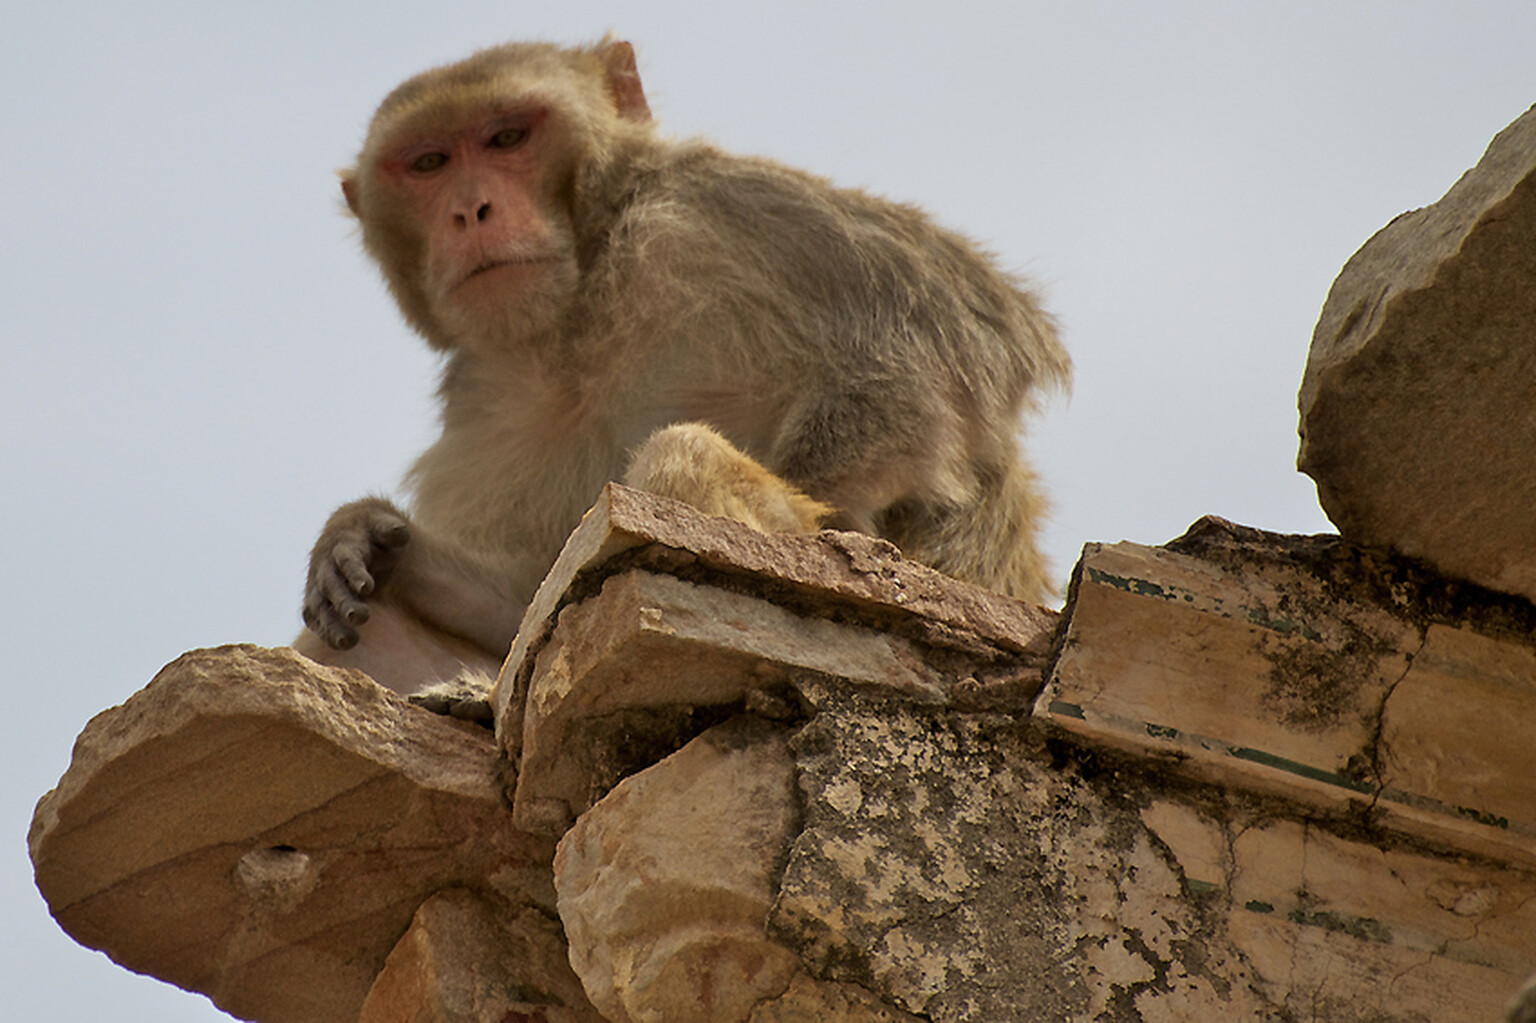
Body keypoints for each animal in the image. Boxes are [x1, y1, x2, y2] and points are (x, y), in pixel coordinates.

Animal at [294, 38, 1069, 698]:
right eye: (428, 163)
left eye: (507, 138)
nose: (470, 210)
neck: (577, 316)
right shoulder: (482, 410)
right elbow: (544, 596)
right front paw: (373, 538)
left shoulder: (708, 206)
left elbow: (957, 333)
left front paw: (840, 528)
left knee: (685, 453)